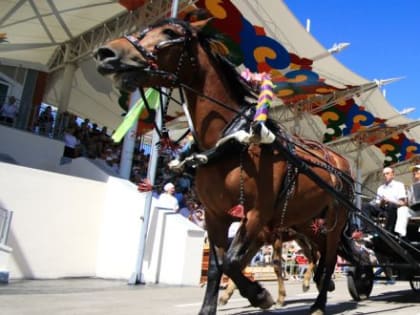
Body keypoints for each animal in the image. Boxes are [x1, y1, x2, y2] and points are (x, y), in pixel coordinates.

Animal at [95, 13, 368, 315]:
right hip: (306, 221)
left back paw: (319, 302)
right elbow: (217, 266)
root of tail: (341, 161)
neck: (230, 141)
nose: (107, 53)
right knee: (323, 254)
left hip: (334, 219)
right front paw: (210, 307)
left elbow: (232, 262)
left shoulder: (256, 215)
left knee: (330, 257)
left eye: (169, 33)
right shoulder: (215, 215)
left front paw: (260, 295)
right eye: (144, 31)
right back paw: (324, 282)